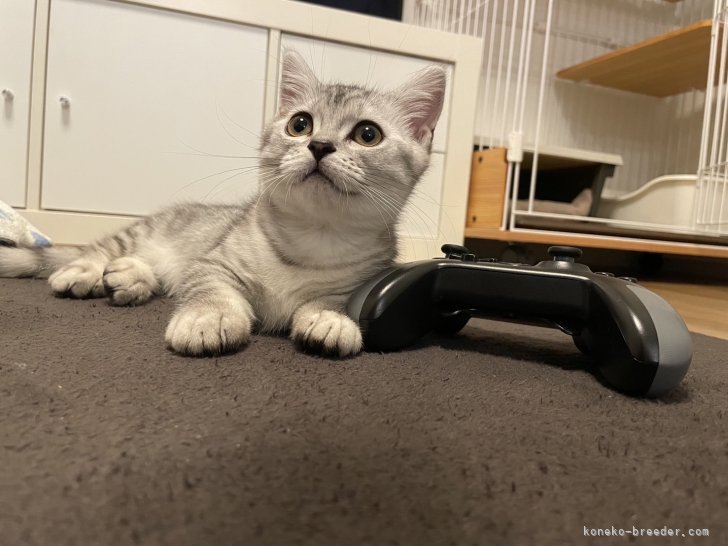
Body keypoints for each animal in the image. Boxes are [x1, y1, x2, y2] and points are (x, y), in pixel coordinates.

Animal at [0, 50, 446, 357]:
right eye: (300, 124)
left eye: (368, 134)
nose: (319, 145)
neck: (314, 238)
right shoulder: (215, 261)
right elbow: (209, 286)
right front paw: (208, 316)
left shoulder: (361, 284)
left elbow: (332, 302)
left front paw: (328, 319)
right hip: (142, 232)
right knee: (98, 250)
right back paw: (88, 271)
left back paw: (129, 278)